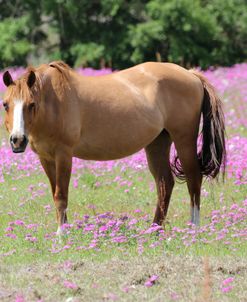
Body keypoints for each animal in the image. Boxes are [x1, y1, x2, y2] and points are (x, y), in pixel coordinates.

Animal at [1, 61, 226, 235]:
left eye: (31, 104)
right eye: (5, 104)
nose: (17, 140)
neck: (53, 102)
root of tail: (191, 74)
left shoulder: (63, 155)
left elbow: (61, 196)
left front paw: (62, 235)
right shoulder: (46, 158)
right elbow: (55, 193)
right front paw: (62, 230)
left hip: (184, 139)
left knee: (193, 179)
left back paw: (194, 228)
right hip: (158, 143)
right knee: (164, 183)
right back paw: (154, 230)